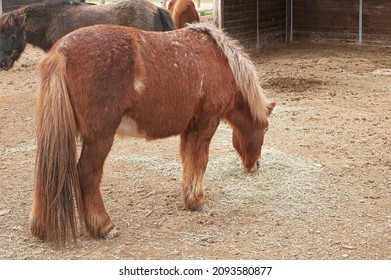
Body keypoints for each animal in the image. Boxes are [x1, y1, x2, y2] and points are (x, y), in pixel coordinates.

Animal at [30, 22, 276, 245]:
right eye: (265, 128)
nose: (256, 165)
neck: (219, 60)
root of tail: (61, 51)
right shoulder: (206, 125)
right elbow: (199, 161)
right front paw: (197, 200)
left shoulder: (189, 128)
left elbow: (188, 161)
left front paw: (190, 197)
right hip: (99, 138)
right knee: (87, 174)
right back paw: (103, 226)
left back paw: (41, 227)